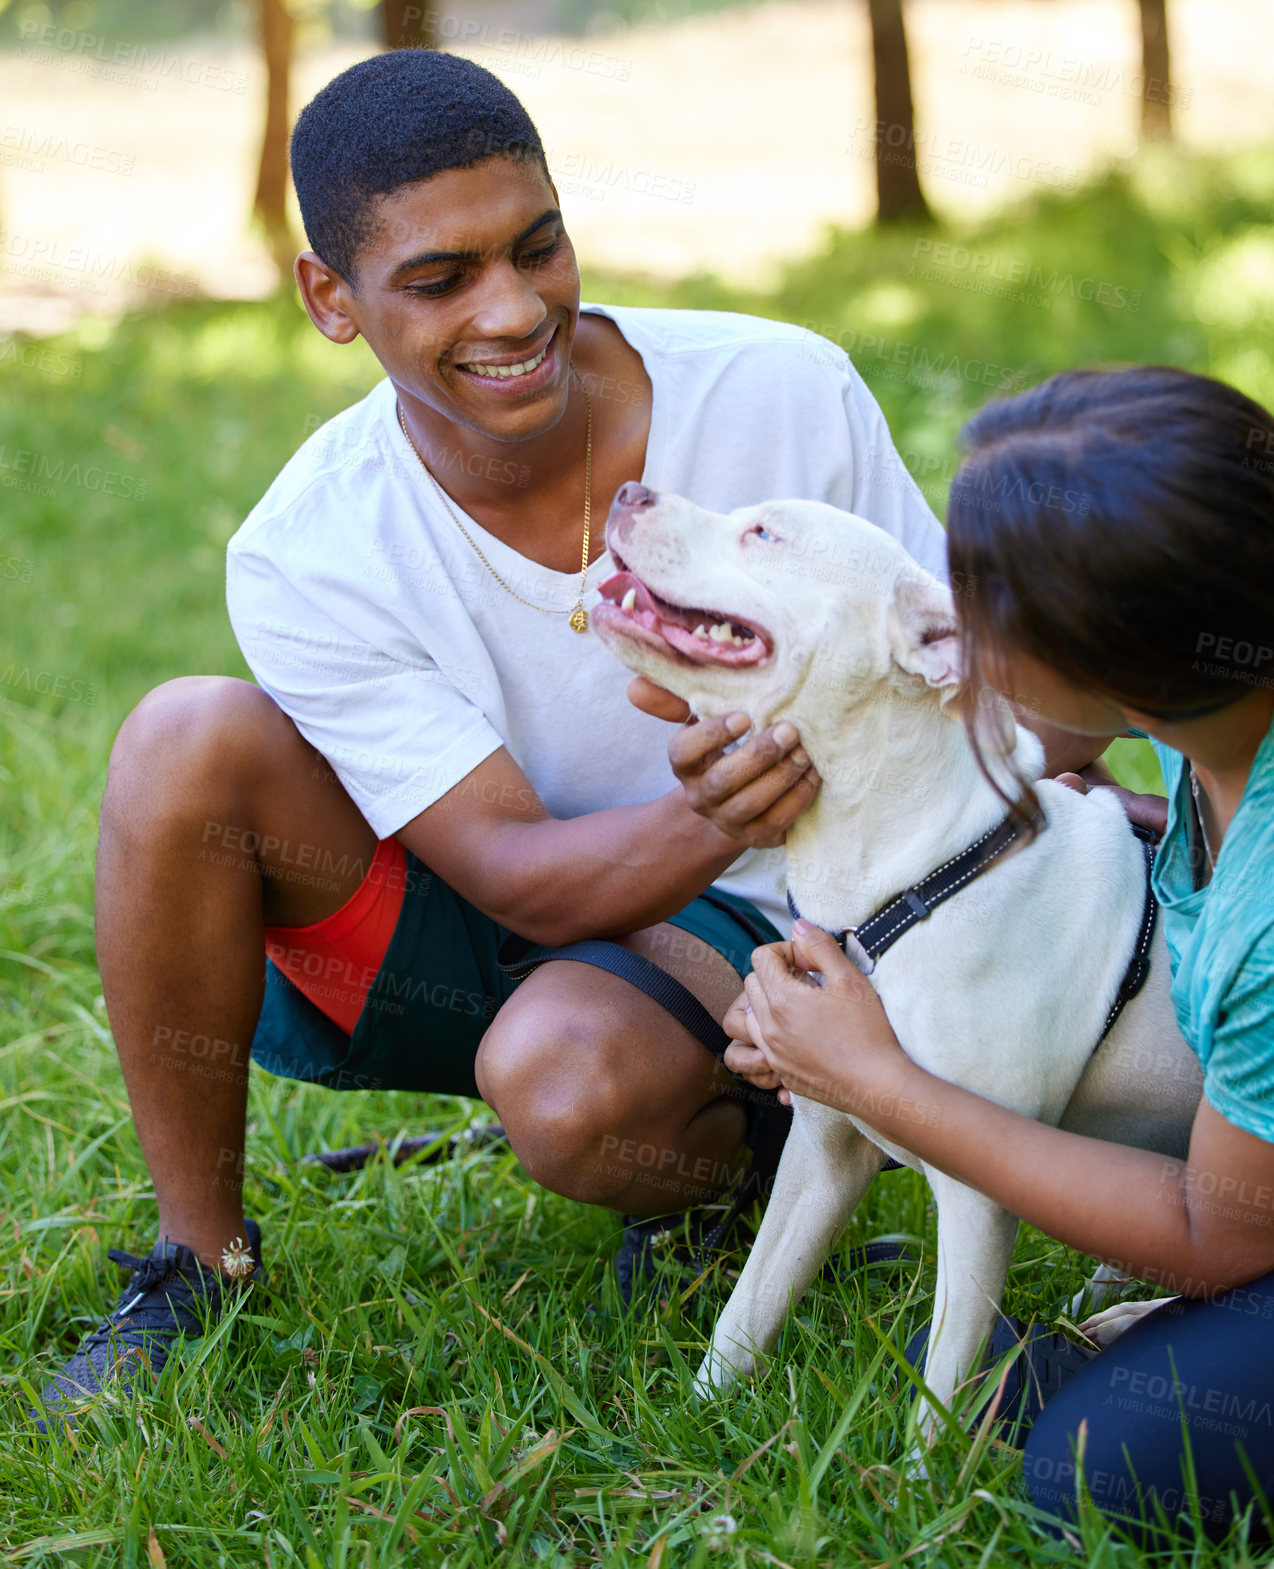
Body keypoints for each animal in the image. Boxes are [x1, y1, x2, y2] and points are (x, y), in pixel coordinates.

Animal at [593, 483, 1198, 1437]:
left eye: (764, 531)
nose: (629, 490)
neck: (910, 874)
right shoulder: (821, 1150)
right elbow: (748, 1307)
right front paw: (692, 1425)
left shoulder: (980, 1194)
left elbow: (942, 1387)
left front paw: (919, 1476)